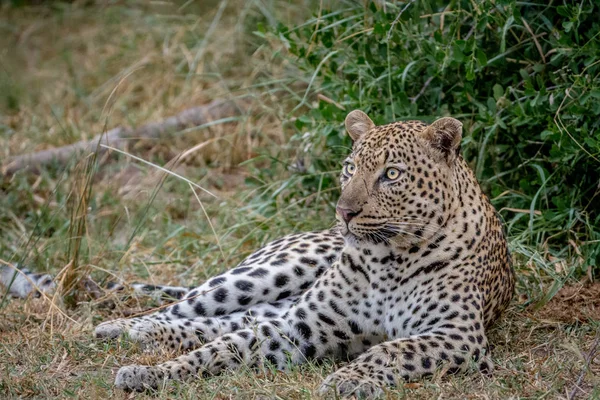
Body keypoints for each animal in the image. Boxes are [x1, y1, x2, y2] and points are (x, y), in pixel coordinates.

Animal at [91, 109, 512, 396]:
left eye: (391, 174)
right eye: (350, 168)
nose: (344, 212)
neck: (388, 262)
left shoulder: (458, 335)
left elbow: (394, 350)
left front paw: (347, 379)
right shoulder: (301, 326)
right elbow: (225, 348)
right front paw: (152, 373)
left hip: (273, 302)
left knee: (221, 322)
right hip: (269, 274)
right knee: (187, 307)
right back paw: (123, 328)